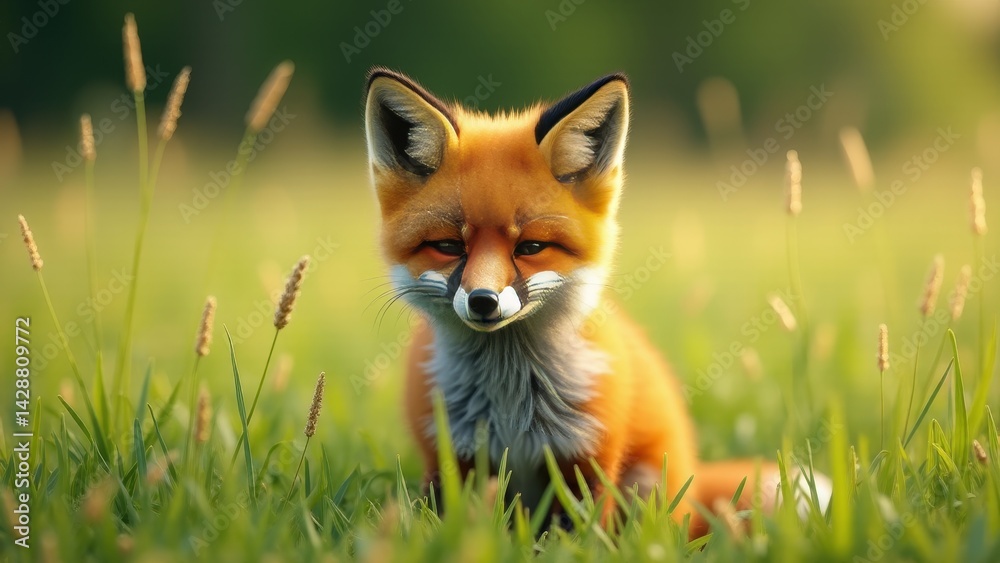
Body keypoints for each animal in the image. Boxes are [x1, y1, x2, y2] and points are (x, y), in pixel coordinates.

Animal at [362, 68, 830, 536]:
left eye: (531, 247)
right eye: (447, 246)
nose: (483, 301)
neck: (510, 402)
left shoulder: (588, 460)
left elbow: (582, 536)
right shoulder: (450, 459)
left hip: (648, 484)